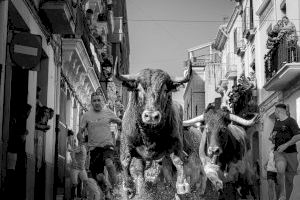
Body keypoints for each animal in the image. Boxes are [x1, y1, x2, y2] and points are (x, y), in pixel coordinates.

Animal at [113, 60, 193, 199]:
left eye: (165, 90)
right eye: (138, 89)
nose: (151, 116)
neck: (149, 135)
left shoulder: (176, 142)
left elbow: (178, 161)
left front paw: (182, 185)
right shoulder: (126, 143)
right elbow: (125, 162)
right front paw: (128, 188)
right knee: (140, 172)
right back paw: (141, 190)